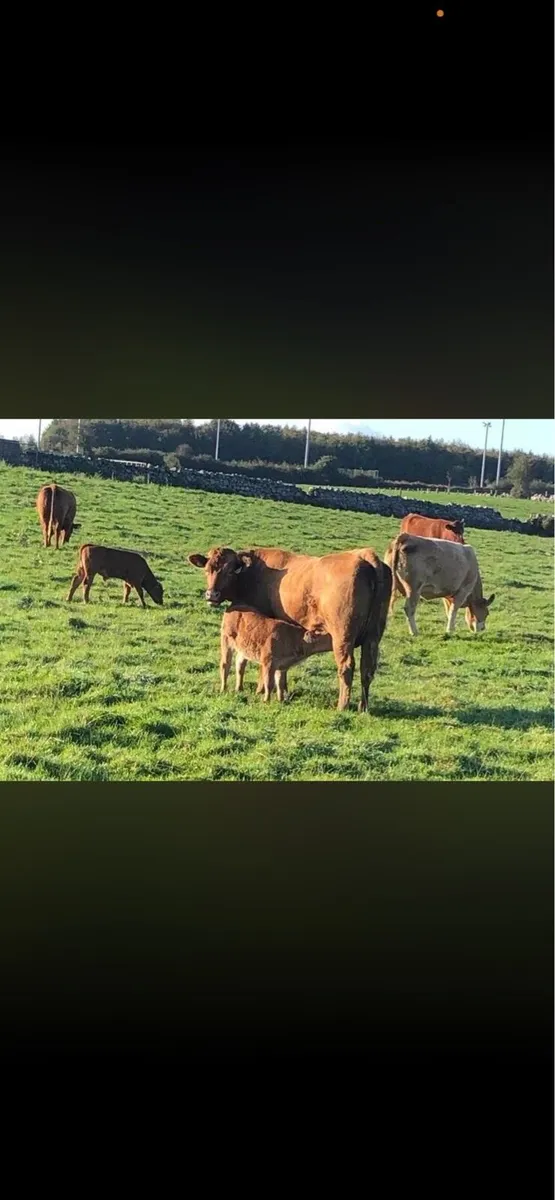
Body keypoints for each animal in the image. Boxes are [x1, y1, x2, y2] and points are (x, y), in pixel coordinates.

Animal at [187, 545, 392, 713]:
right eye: (207, 569)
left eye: (230, 571)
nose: (211, 595)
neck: (254, 573)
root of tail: (365, 556)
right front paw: (282, 692)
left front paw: (261, 690)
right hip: (373, 636)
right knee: (367, 669)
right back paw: (363, 707)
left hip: (343, 636)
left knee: (346, 667)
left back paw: (342, 705)